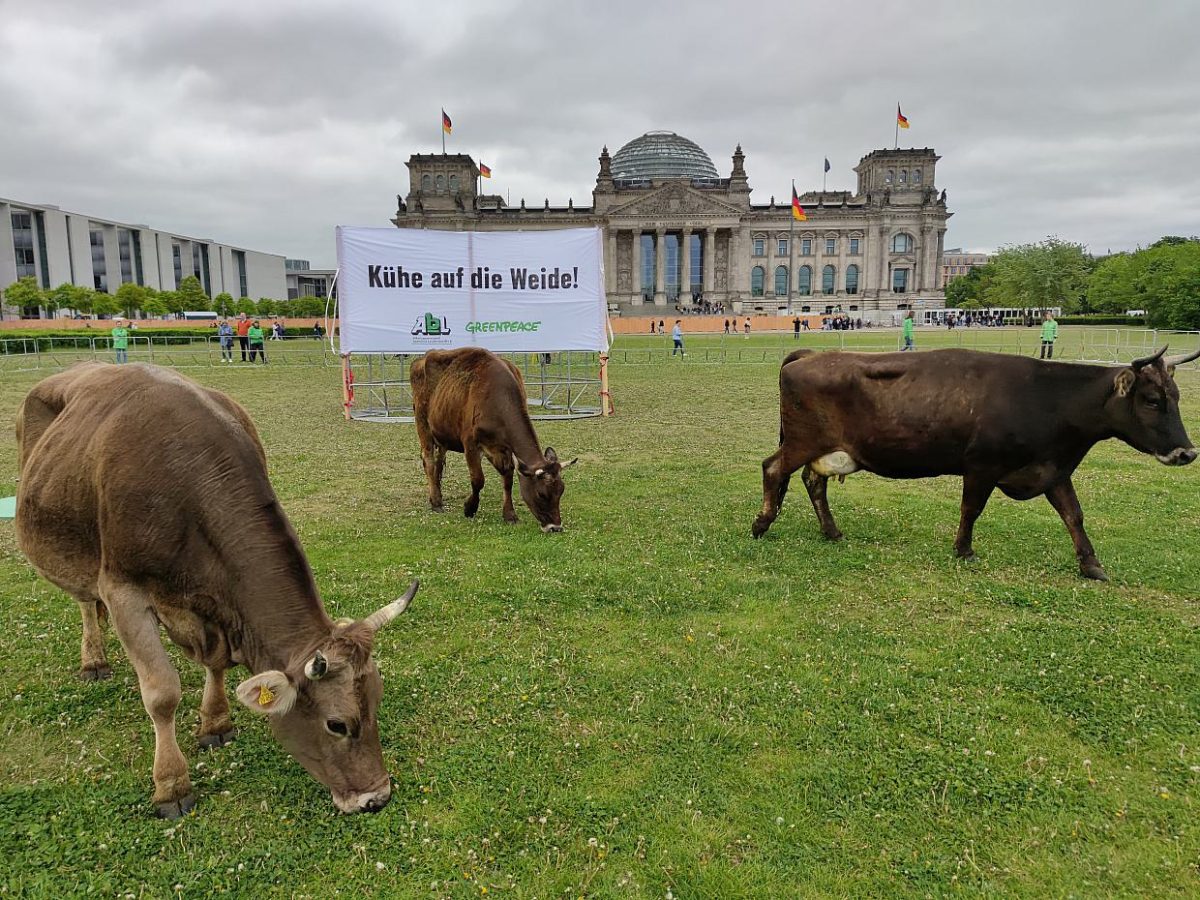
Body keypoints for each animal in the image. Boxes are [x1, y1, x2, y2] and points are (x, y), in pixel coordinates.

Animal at [15, 362, 422, 820]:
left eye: (377, 702)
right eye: (337, 724)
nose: (377, 797)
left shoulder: (217, 608)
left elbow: (217, 664)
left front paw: (216, 722)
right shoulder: (123, 590)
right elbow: (162, 694)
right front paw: (171, 784)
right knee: (86, 602)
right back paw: (94, 660)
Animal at [412, 348, 576, 532]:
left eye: (561, 490)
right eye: (541, 494)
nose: (556, 527)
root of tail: (422, 358)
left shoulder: (504, 450)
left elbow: (508, 481)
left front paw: (510, 514)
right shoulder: (470, 444)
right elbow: (478, 479)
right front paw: (470, 508)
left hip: (442, 434)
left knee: (439, 463)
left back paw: (439, 495)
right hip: (423, 424)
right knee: (429, 462)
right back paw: (436, 502)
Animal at [753, 345, 1195, 578]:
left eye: (1175, 397)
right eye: (1151, 400)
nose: (1187, 452)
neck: (1044, 398)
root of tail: (812, 354)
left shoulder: (1053, 469)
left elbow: (1074, 515)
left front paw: (1091, 565)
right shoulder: (982, 465)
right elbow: (972, 508)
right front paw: (964, 549)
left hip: (823, 450)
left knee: (814, 482)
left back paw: (831, 531)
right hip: (802, 441)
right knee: (773, 468)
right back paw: (762, 523)